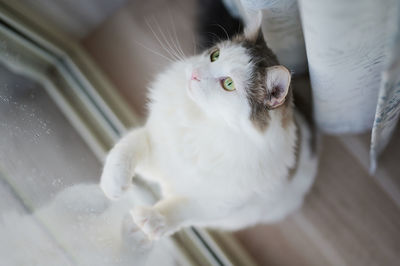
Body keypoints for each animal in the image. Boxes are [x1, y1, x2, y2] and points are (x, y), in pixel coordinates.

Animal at [101, 11, 318, 241]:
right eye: (215, 56)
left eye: (229, 84)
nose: (195, 73)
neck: (200, 121)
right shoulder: (157, 146)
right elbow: (126, 147)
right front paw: (113, 184)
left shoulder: (220, 203)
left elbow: (184, 208)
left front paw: (153, 220)